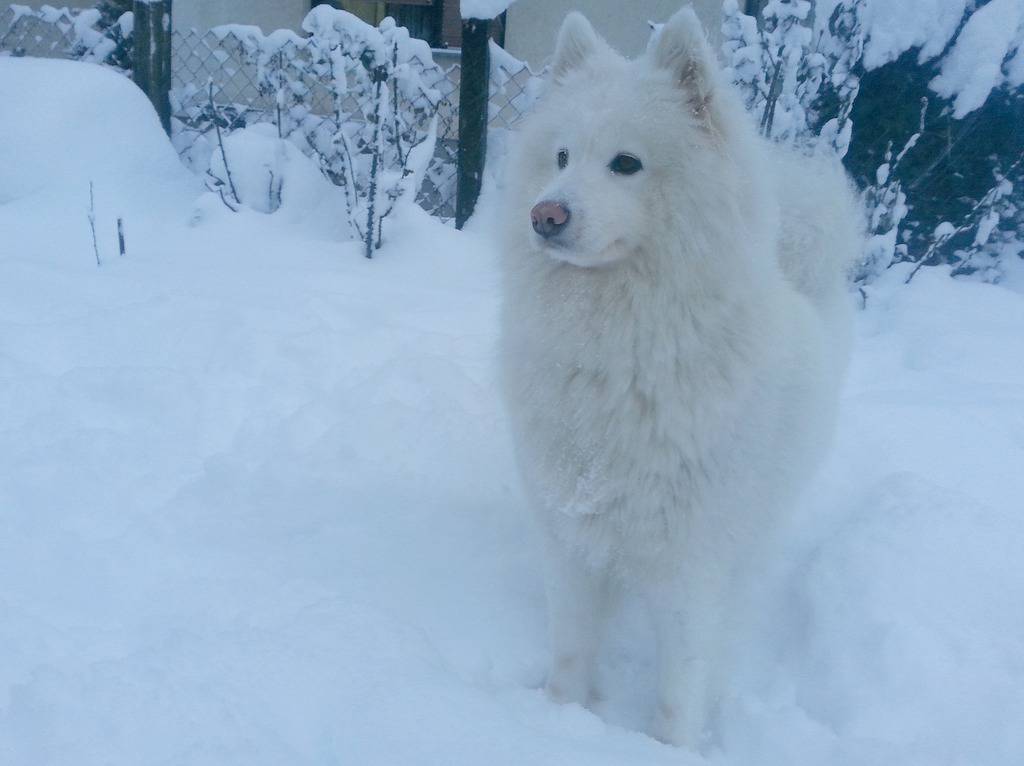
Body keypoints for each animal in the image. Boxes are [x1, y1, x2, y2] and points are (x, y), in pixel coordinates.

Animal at [499, 4, 860, 749]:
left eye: (626, 163)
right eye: (561, 157)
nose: (544, 215)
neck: (621, 348)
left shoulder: (692, 562)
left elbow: (679, 684)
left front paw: (669, 748)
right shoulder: (569, 539)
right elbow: (570, 653)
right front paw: (558, 718)